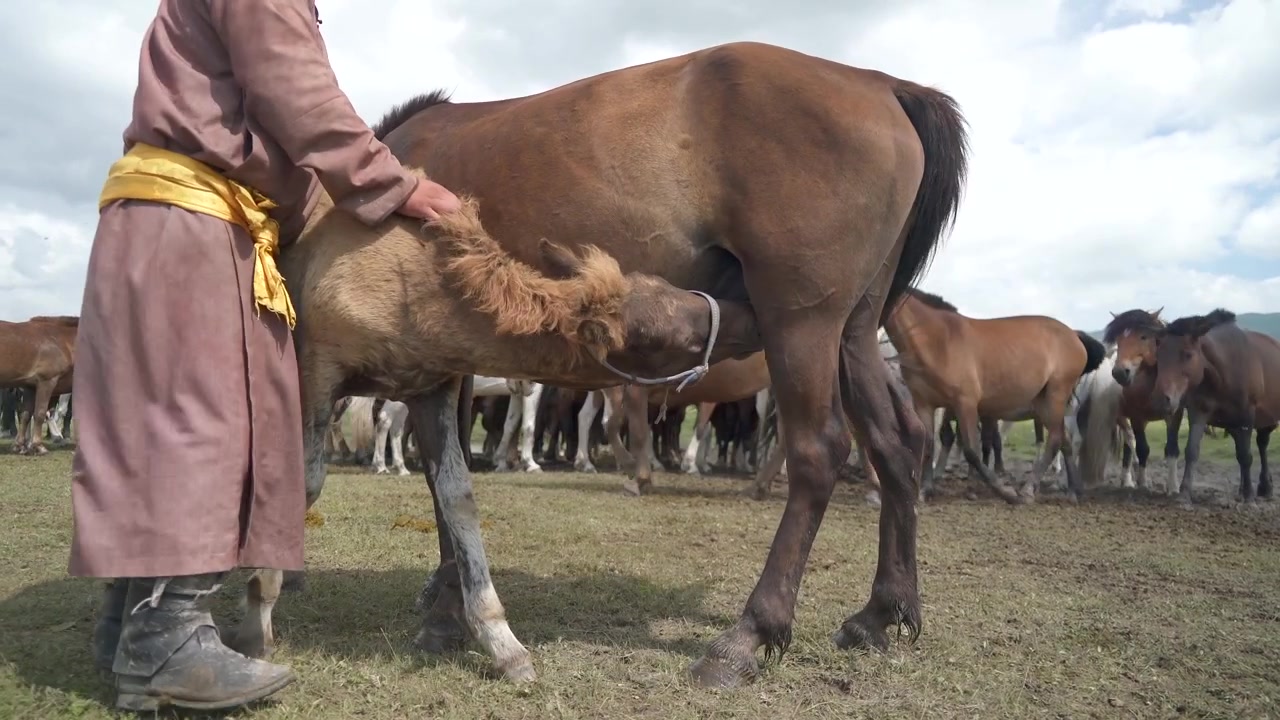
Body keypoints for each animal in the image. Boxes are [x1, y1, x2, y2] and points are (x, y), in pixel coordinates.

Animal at [0, 315, 77, 455]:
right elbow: (40, 413)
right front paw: (38, 446)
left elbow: (25, 415)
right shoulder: (46, 381)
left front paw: (19, 445)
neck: (60, 341)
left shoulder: (30, 387)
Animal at [233, 42, 967, 688]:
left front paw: (446, 611)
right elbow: (448, 482)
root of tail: (881, 84)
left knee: (817, 452)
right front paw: (451, 606)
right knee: (896, 444)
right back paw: (882, 612)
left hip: (801, 325)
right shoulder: (446, 365)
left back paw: (747, 636)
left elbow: (444, 479)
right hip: (853, 331)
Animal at [883, 289, 1107, 503]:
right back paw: (1073, 490)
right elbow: (928, 444)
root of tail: (1074, 335)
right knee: (1064, 439)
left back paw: (1028, 490)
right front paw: (925, 490)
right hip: (1043, 404)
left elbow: (972, 450)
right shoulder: (924, 404)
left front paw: (1004, 491)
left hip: (1056, 395)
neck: (937, 340)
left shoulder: (965, 403)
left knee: (1055, 439)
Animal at [1149, 309, 1280, 504]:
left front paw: (1249, 497)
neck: (1223, 372)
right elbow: (1192, 450)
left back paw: (1265, 487)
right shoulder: (1199, 411)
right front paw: (1184, 493)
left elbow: (1246, 456)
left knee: (1262, 445)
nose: (1160, 399)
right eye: (1159, 355)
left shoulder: (1247, 416)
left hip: (1266, 420)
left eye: (1188, 354)